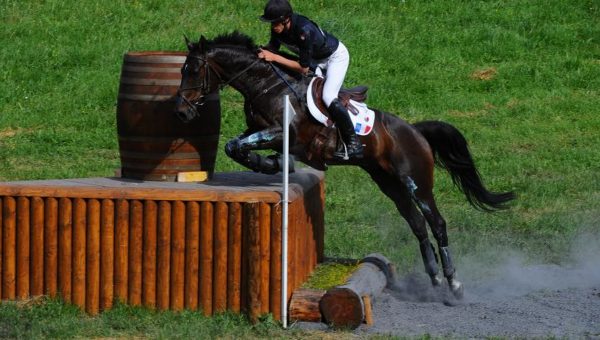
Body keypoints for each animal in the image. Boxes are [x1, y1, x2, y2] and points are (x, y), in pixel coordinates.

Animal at [173, 31, 516, 298]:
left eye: (194, 70)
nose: (182, 112)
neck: (268, 85)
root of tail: (416, 131)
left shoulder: (284, 134)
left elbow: (242, 145)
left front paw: (268, 163)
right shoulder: (259, 132)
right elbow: (234, 145)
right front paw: (268, 164)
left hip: (416, 182)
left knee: (437, 223)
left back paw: (454, 285)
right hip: (389, 183)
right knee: (417, 225)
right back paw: (433, 279)